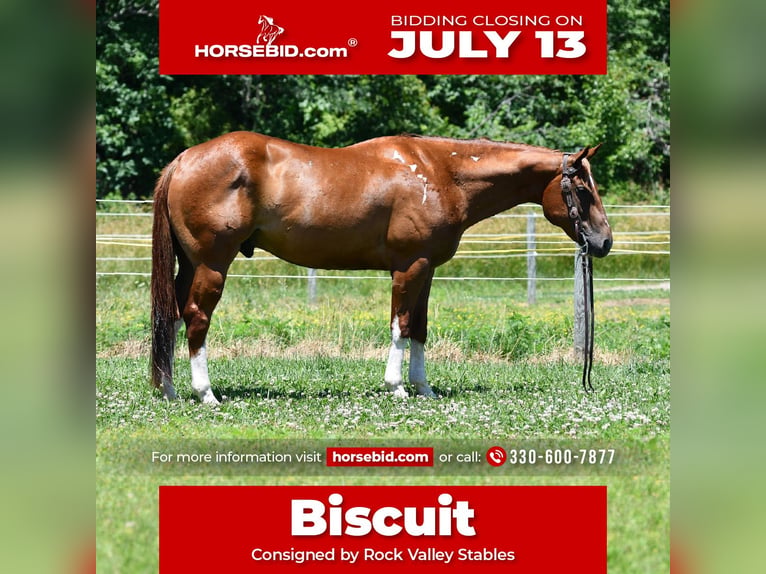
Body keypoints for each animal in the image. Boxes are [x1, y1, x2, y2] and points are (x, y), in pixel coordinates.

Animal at [150, 132, 612, 404]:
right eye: (583, 190)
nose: (604, 242)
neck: (441, 173)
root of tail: (184, 159)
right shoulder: (409, 267)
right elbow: (400, 325)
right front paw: (397, 387)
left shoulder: (427, 269)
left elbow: (420, 328)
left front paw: (423, 387)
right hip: (212, 265)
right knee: (196, 318)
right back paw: (205, 393)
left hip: (189, 265)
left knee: (170, 316)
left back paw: (169, 389)